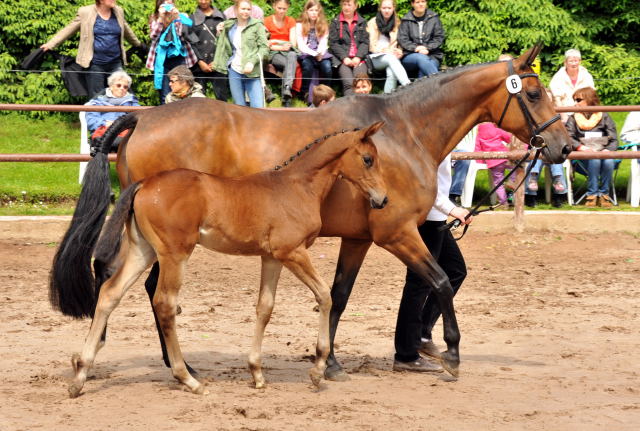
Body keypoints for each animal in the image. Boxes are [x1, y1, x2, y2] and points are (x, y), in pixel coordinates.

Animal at [70, 121, 390, 398]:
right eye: (367, 159)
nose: (383, 199)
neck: (297, 187)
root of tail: (143, 184)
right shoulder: (293, 252)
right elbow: (325, 296)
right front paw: (318, 369)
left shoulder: (271, 258)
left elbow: (265, 308)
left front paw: (257, 373)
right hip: (175, 254)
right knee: (164, 304)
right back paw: (187, 378)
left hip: (143, 251)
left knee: (110, 293)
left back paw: (80, 374)